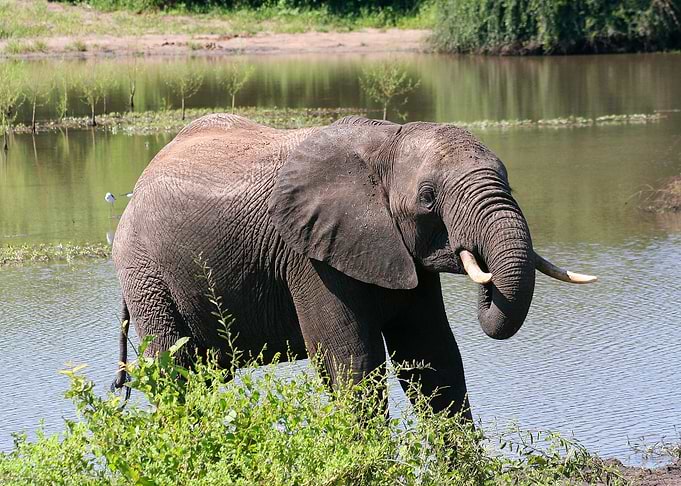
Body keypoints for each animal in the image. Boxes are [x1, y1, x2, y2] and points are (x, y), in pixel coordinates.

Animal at [111, 114, 595, 417]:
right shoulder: (308, 256)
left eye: (509, 180)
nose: (484, 273)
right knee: (173, 368)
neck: (387, 142)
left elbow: (434, 355)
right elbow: (352, 361)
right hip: (145, 271)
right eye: (428, 198)